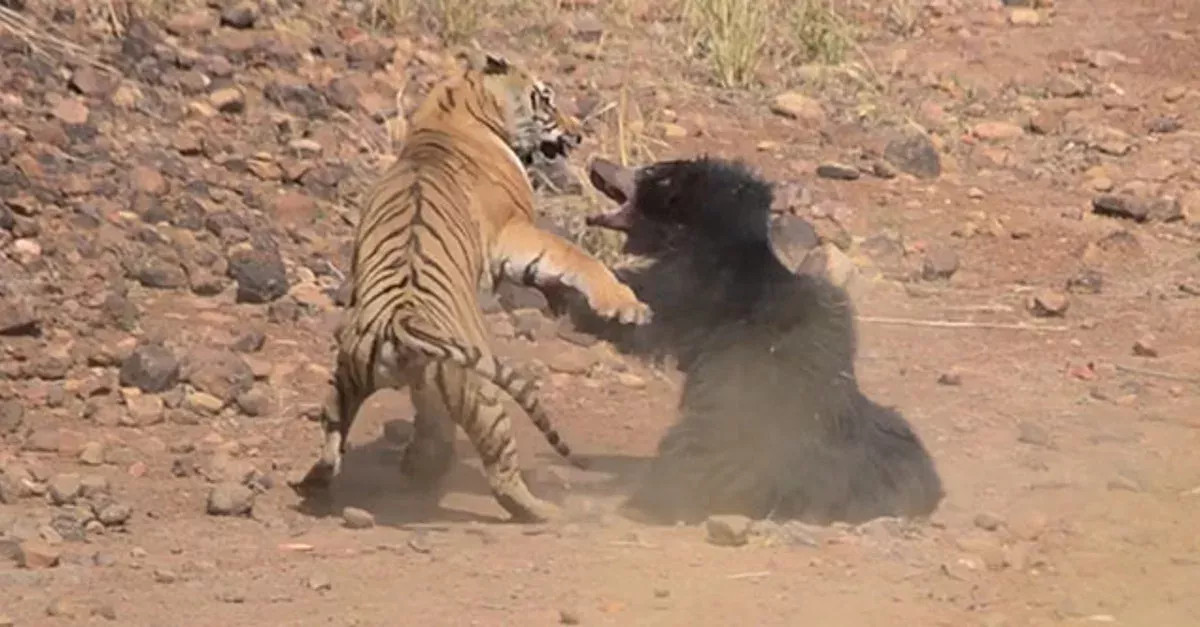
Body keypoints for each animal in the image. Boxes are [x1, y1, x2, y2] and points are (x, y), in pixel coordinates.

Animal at [289, 50, 652, 523]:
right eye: (546, 100)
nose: (578, 132)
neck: (451, 113)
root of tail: (399, 323)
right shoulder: (514, 233)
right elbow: (574, 256)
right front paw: (626, 305)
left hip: (345, 382)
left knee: (333, 448)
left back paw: (321, 482)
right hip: (479, 392)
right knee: (500, 469)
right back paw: (543, 511)